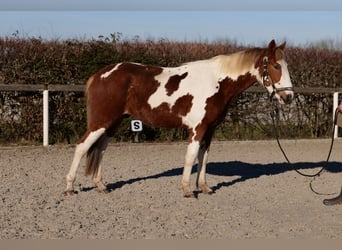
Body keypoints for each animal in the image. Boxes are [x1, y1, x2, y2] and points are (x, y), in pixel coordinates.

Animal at [65, 40, 294, 198]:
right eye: (275, 66)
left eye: (286, 66)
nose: (288, 97)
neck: (217, 82)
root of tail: (100, 75)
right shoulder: (197, 129)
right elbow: (190, 157)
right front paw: (187, 190)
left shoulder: (210, 130)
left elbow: (203, 158)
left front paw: (204, 187)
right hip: (100, 122)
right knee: (82, 147)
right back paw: (69, 187)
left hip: (111, 123)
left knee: (101, 149)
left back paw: (101, 185)